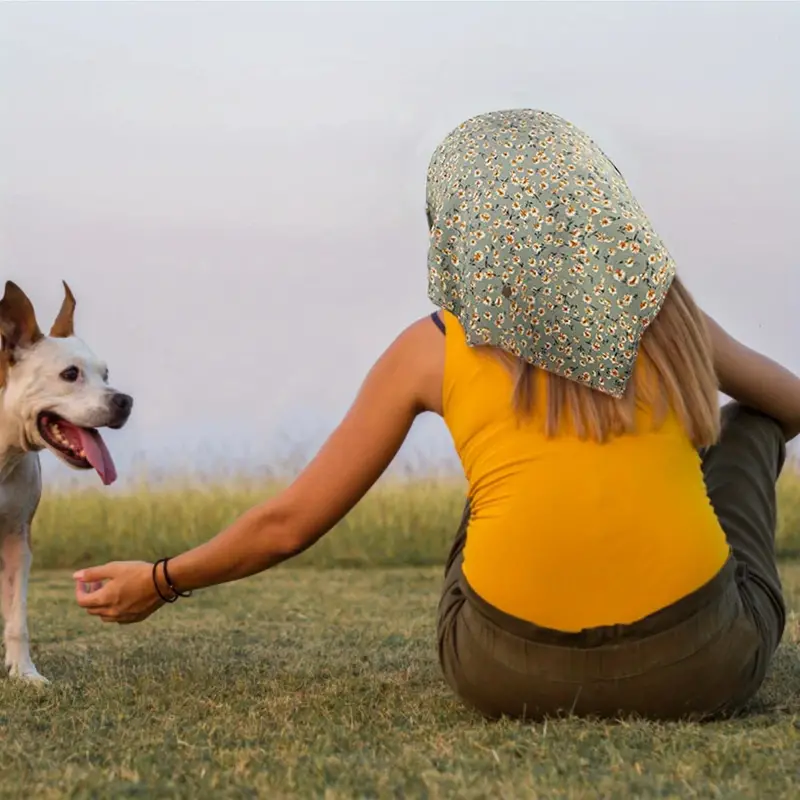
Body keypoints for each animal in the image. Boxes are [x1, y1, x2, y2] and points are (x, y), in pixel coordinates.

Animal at [0, 280, 131, 680]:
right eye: (70, 374)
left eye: (106, 373)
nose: (125, 401)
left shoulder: (17, 538)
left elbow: (17, 617)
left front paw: (25, 673)